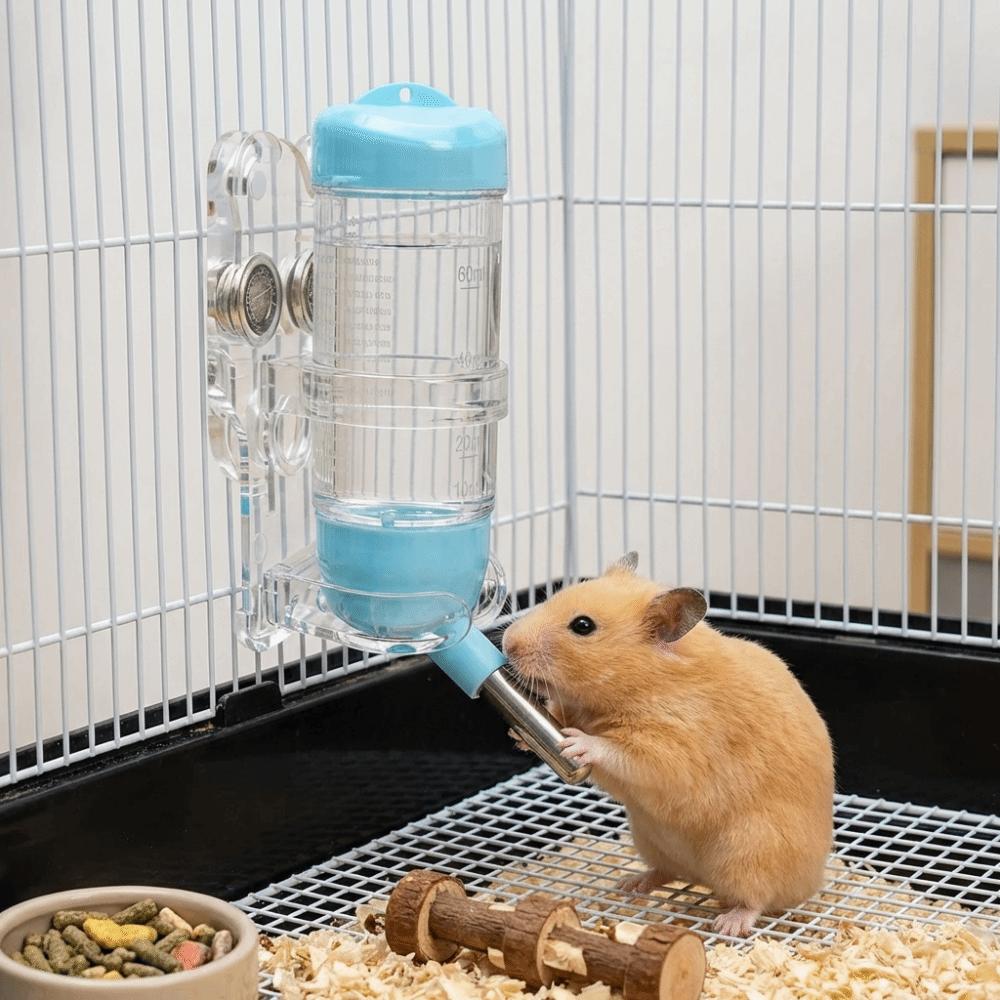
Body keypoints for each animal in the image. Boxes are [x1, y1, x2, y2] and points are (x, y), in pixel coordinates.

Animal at [501, 551, 834, 938]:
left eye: (583, 626)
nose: (507, 642)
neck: (646, 682)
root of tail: (812, 880)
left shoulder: (672, 747)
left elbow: (620, 752)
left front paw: (577, 744)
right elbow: (558, 715)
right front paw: (518, 736)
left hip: (750, 851)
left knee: (756, 898)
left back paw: (729, 924)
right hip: (650, 838)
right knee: (668, 872)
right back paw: (630, 884)